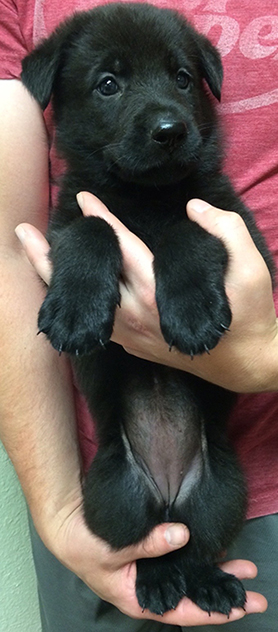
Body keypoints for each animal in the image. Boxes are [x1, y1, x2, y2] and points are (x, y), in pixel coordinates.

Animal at [21, 2, 274, 616]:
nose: (170, 130)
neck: (144, 197)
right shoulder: (66, 220)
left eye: (182, 78)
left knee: (192, 544)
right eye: (108, 84)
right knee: (152, 545)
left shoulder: (237, 229)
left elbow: (188, 228)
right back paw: (159, 581)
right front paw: (76, 313)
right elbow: (91, 229)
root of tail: (167, 492)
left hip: (222, 492)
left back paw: (207, 583)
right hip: (115, 497)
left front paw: (191, 313)